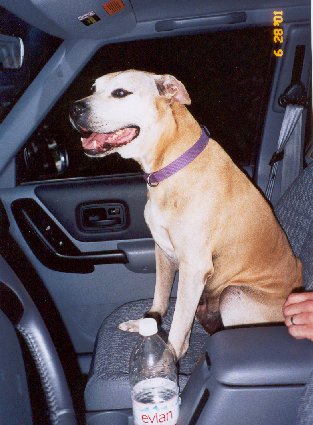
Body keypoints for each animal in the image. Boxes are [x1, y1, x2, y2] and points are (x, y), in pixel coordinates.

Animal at [69, 68, 302, 358]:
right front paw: (148, 324)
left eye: (120, 93)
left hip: (234, 296)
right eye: (93, 88)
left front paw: (170, 355)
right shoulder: (162, 251)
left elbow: (179, 324)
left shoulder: (194, 267)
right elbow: (160, 297)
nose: (73, 108)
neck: (171, 164)